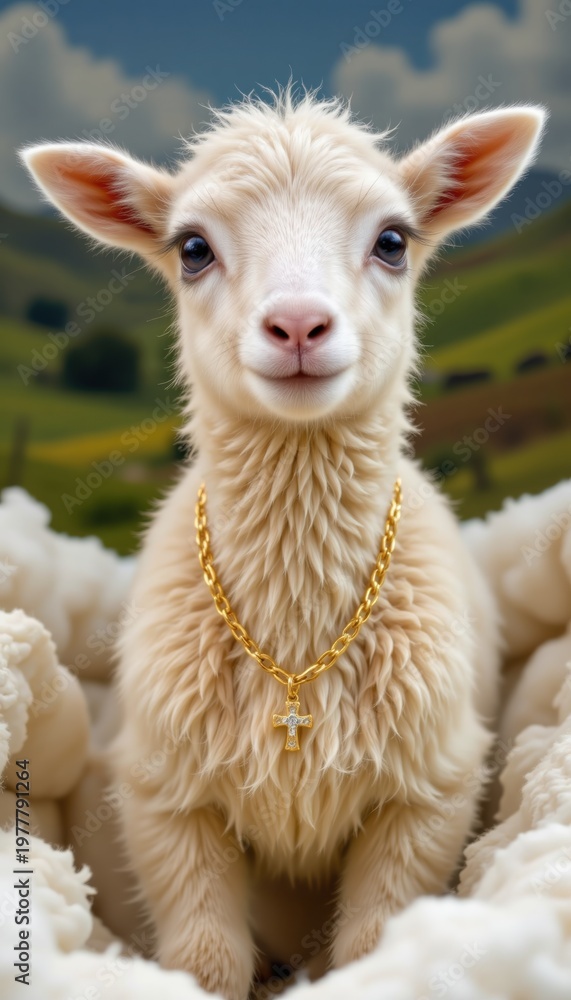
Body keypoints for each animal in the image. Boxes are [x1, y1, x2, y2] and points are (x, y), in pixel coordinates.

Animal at [22, 90, 545, 1000]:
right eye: (193, 248)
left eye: (392, 240)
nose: (298, 325)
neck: (297, 639)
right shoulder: (164, 796)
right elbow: (206, 958)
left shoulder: (429, 790)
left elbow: (374, 942)